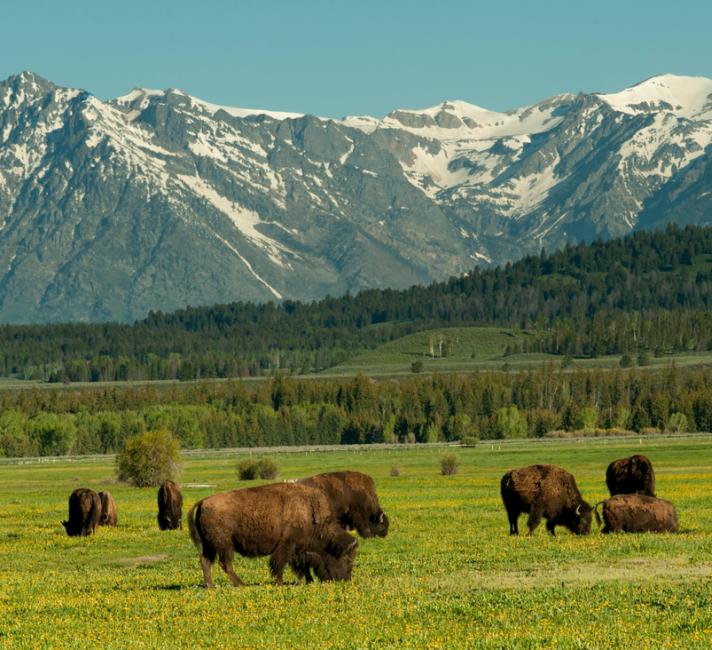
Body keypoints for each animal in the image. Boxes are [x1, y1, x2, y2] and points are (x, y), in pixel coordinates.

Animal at [188, 480, 358, 588]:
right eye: (346, 559)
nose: (345, 579)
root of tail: (203, 502)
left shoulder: (299, 550)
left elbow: (301, 566)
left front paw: (309, 581)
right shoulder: (287, 545)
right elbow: (280, 564)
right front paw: (280, 583)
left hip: (210, 546)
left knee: (206, 561)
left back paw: (211, 585)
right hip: (224, 545)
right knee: (225, 563)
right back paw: (240, 584)